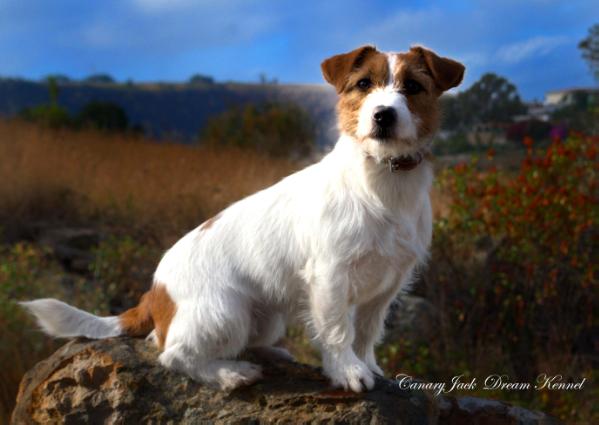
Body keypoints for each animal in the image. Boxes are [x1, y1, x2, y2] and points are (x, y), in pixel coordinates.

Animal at [22, 45, 464, 390]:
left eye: (413, 87)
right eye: (363, 85)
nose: (383, 115)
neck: (381, 179)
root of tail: (154, 293)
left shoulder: (386, 285)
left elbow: (368, 332)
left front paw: (368, 365)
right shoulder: (330, 277)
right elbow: (338, 330)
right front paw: (348, 372)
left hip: (266, 317)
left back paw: (271, 353)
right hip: (225, 312)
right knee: (172, 354)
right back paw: (230, 374)